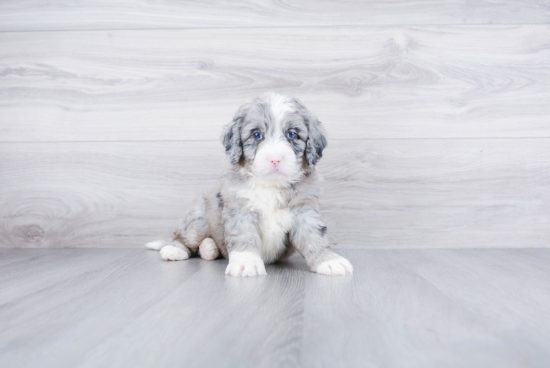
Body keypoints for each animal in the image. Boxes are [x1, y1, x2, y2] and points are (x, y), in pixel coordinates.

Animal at [146, 91, 354, 276]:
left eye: (292, 134)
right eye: (256, 135)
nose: (275, 159)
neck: (271, 185)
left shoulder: (305, 211)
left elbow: (315, 236)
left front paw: (329, 260)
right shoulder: (240, 209)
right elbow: (244, 235)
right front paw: (246, 263)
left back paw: (209, 248)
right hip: (198, 219)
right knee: (183, 238)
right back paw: (175, 249)